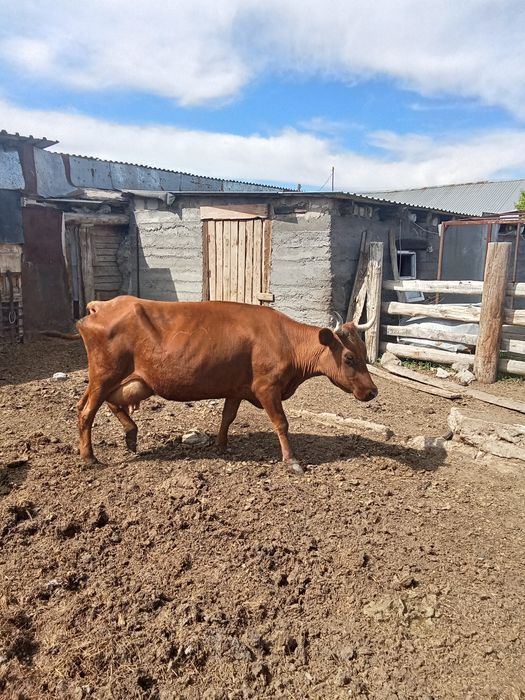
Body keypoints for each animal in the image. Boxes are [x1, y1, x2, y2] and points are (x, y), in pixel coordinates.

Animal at [74, 296, 377, 473]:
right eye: (349, 357)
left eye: (364, 352)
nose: (373, 391)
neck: (284, 340)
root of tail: (104, 305)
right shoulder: (267, 388)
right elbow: (281, 423)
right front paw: (292, 461)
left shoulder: (237, 389)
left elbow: (227, 417)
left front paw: (221, 446)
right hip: (104, 375)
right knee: (86, 412)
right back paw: (89, 457)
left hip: (123, 379)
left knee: (99, 403)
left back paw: (131, 434)